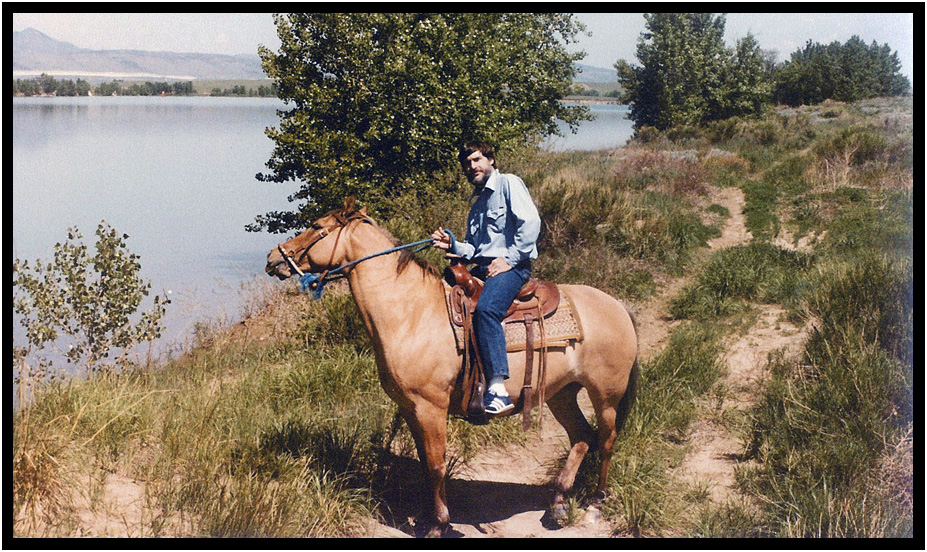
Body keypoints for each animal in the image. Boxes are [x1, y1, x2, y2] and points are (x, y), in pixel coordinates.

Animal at [265, 197, 639, 537]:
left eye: (316, 226)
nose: (273, 258)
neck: (412, 313)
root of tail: (617, 306)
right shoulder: (411, 408)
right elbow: (426, 463)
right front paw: (428, 518)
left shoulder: (431, 407)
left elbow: (436, 465)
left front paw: (438, 525)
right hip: (561, 393)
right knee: (581, 437)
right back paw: (558, 505)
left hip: (606, 395)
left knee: (606, 439)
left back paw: (595, 503)